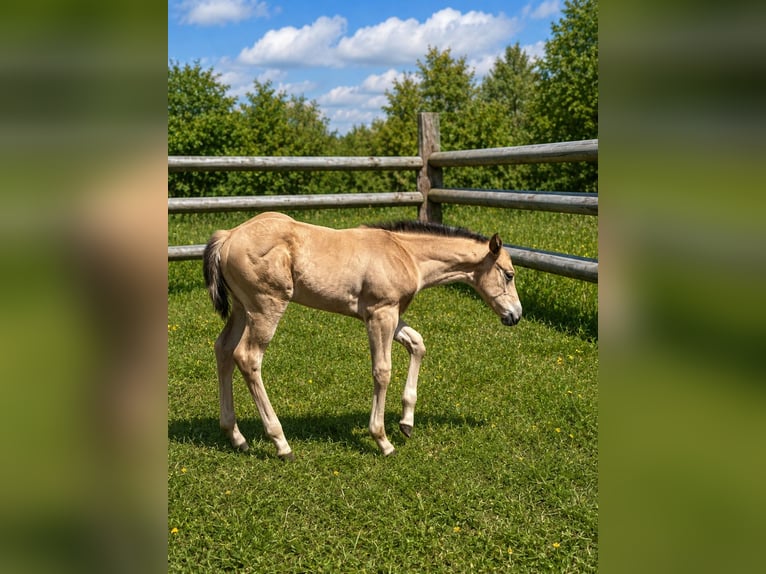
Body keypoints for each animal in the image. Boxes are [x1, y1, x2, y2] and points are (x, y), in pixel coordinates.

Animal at [203, 212, 522, 460]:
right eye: (508, 274)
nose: (515, 316)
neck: (405, 254)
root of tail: (228, 236)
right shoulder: (381, 314)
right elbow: (382, 371)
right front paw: (382, 440)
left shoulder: (389, 315)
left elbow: (417, 344)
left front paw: (407, 422)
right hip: (266, 307)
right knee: (248, 357)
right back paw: (281, 444)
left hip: (242, 309)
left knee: (223, 350)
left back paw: (236, 437)